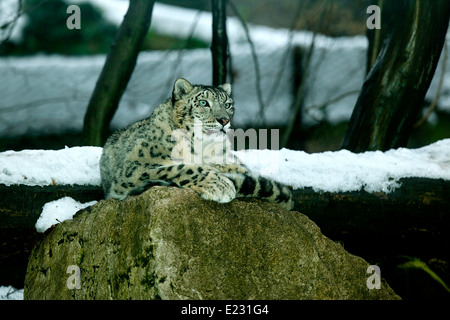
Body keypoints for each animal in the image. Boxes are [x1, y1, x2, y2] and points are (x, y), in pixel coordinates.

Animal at [100, 78, 294, 210]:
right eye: (203, 102)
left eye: (228, 104)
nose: (224, 120)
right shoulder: (135, 170)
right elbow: (182, 168)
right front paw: (220, 185)